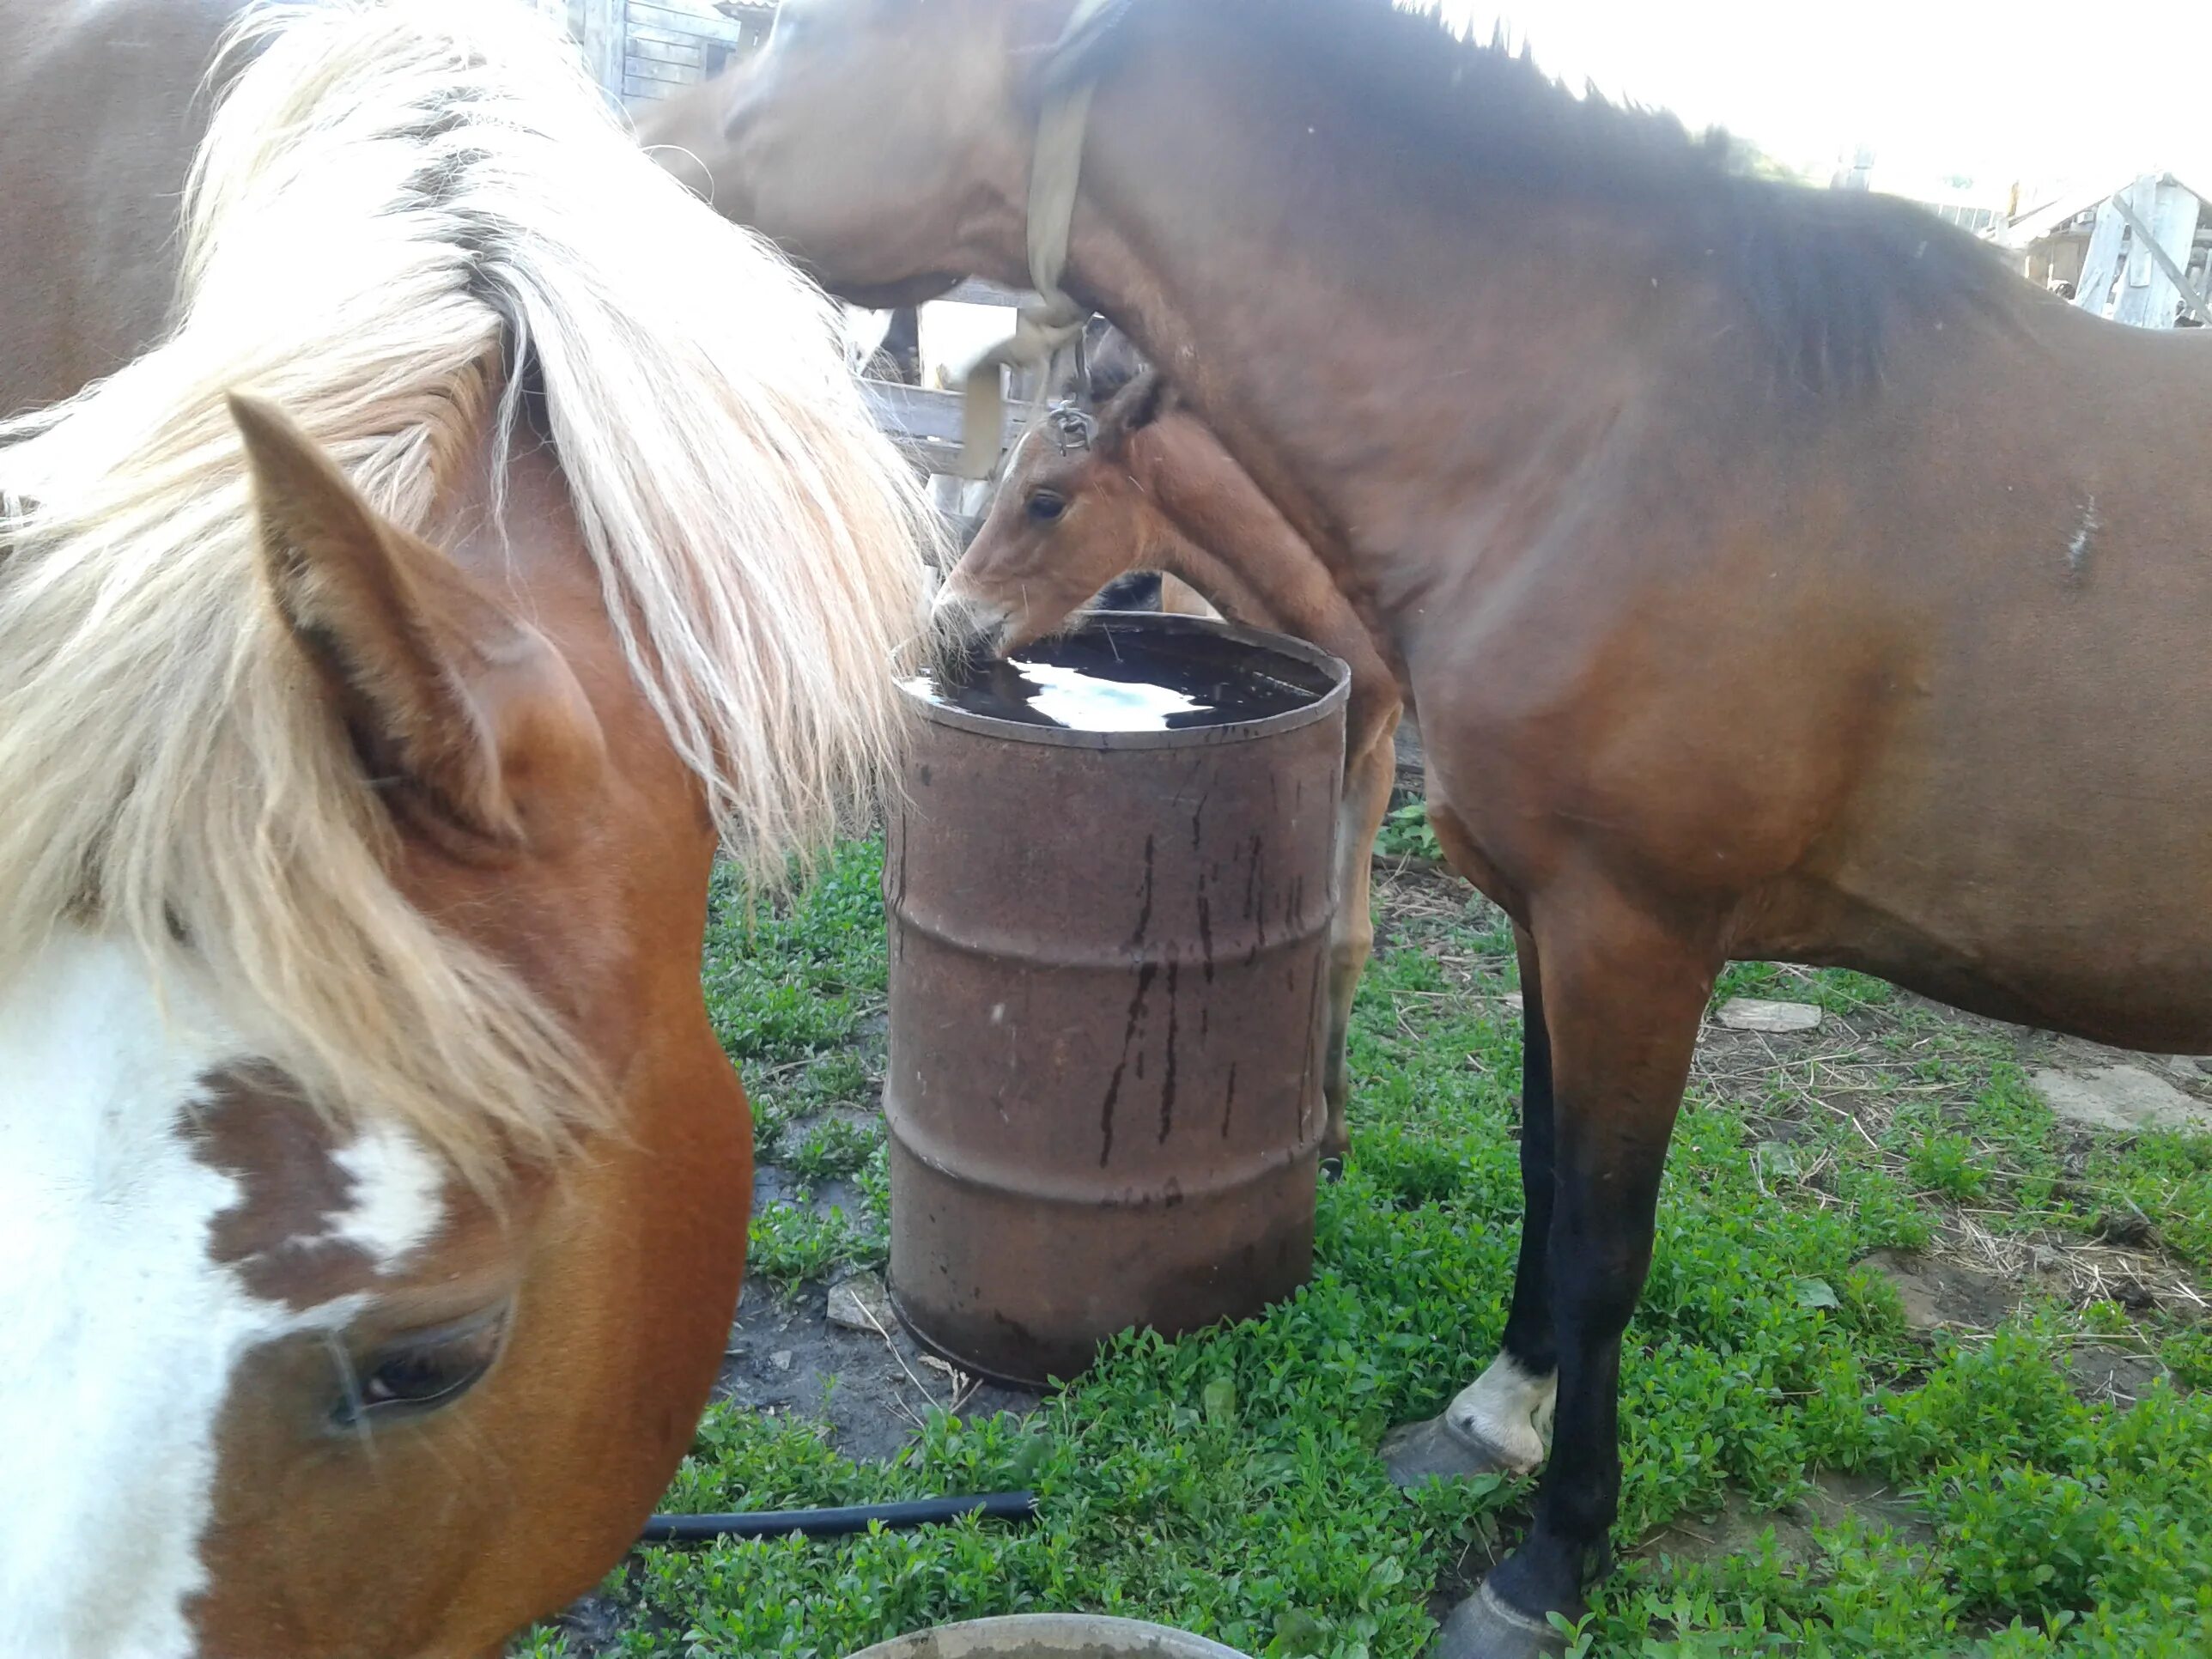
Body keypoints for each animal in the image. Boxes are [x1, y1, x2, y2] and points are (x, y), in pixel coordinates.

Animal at [646, 6, 2212, 1654]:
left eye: (1051, 497)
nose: (638, 151)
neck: (1616, 435)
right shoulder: (1547, 913)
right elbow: (1538, 1172)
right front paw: (1483, 1418)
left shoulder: (1634, 934)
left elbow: (1602, 1243)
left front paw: (1550, 1559)